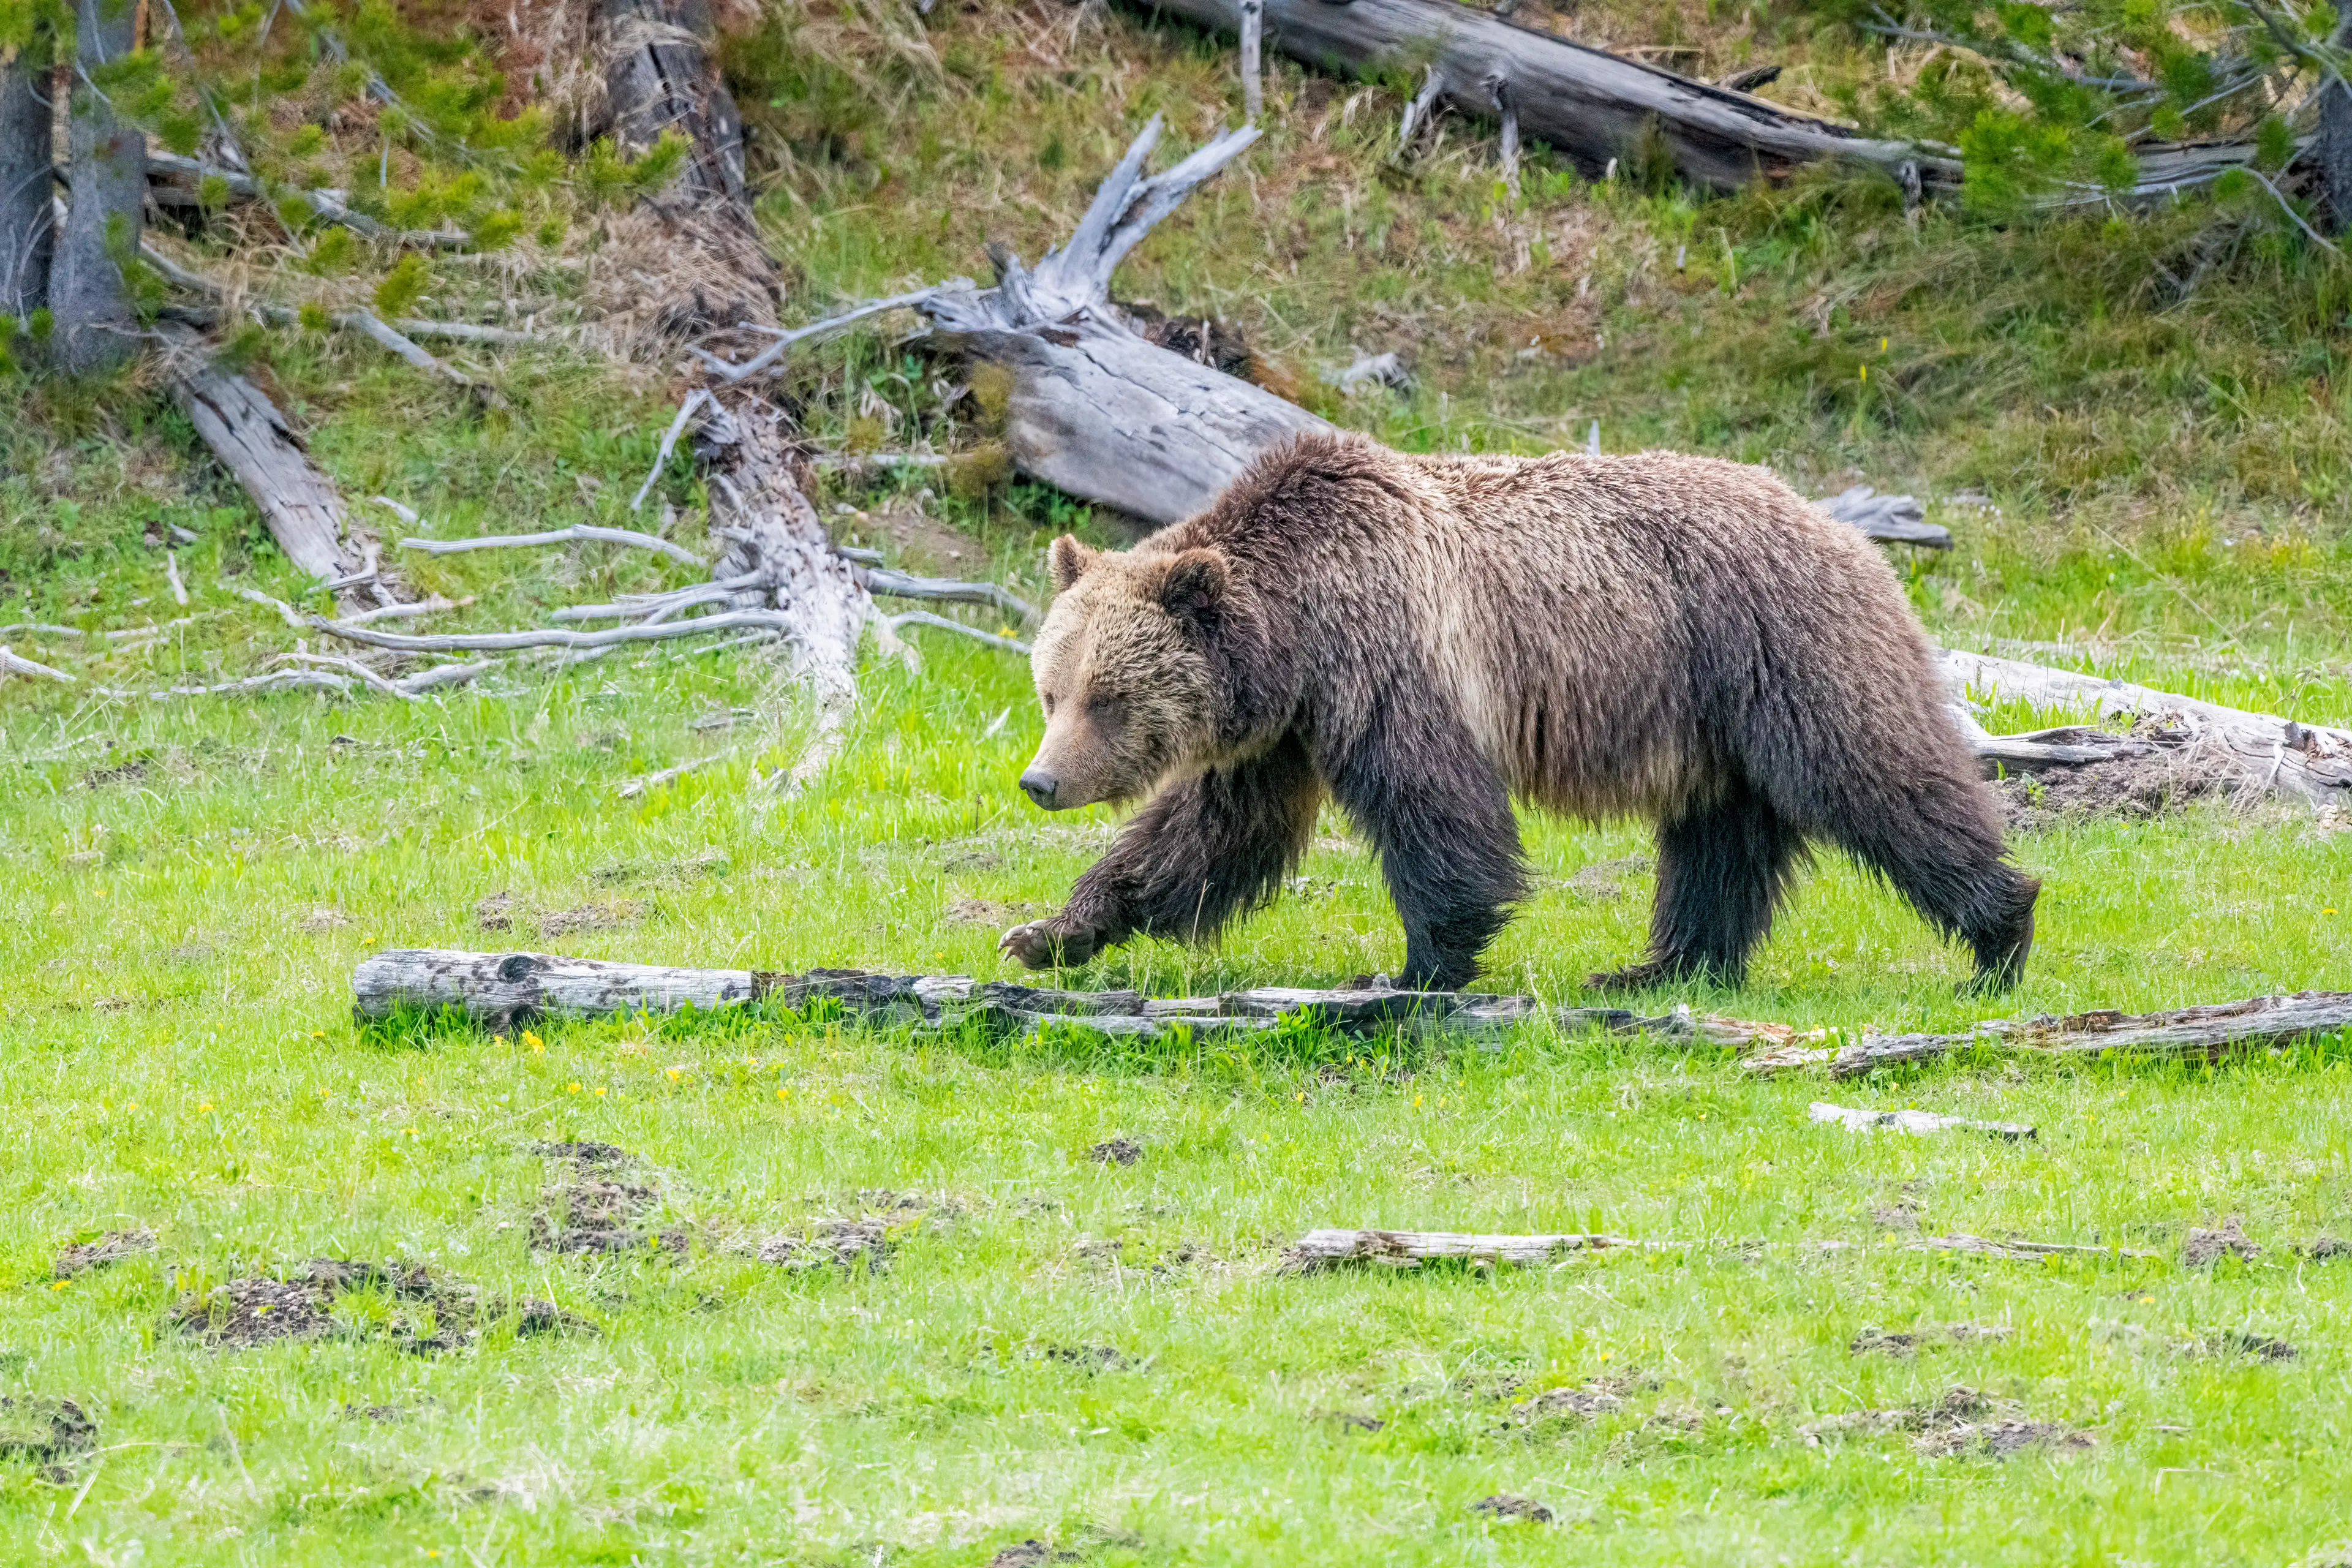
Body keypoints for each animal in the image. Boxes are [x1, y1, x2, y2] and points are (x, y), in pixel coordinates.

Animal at [997, 430, 2039, 995]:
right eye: (1051, 689)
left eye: (1108, 698)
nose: (1041, 780)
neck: (1295, 627)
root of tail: (1840, 527)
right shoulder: (1281, 727)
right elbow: (1209, 832)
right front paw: (1051, 932)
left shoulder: (1392, 659)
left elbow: (1432, 805)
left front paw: (1418, 965)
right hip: (1712, 711)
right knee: (1718, 838)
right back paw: (1665, 966)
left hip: (1780, 648)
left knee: (1875, 776)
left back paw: (2000, 931)